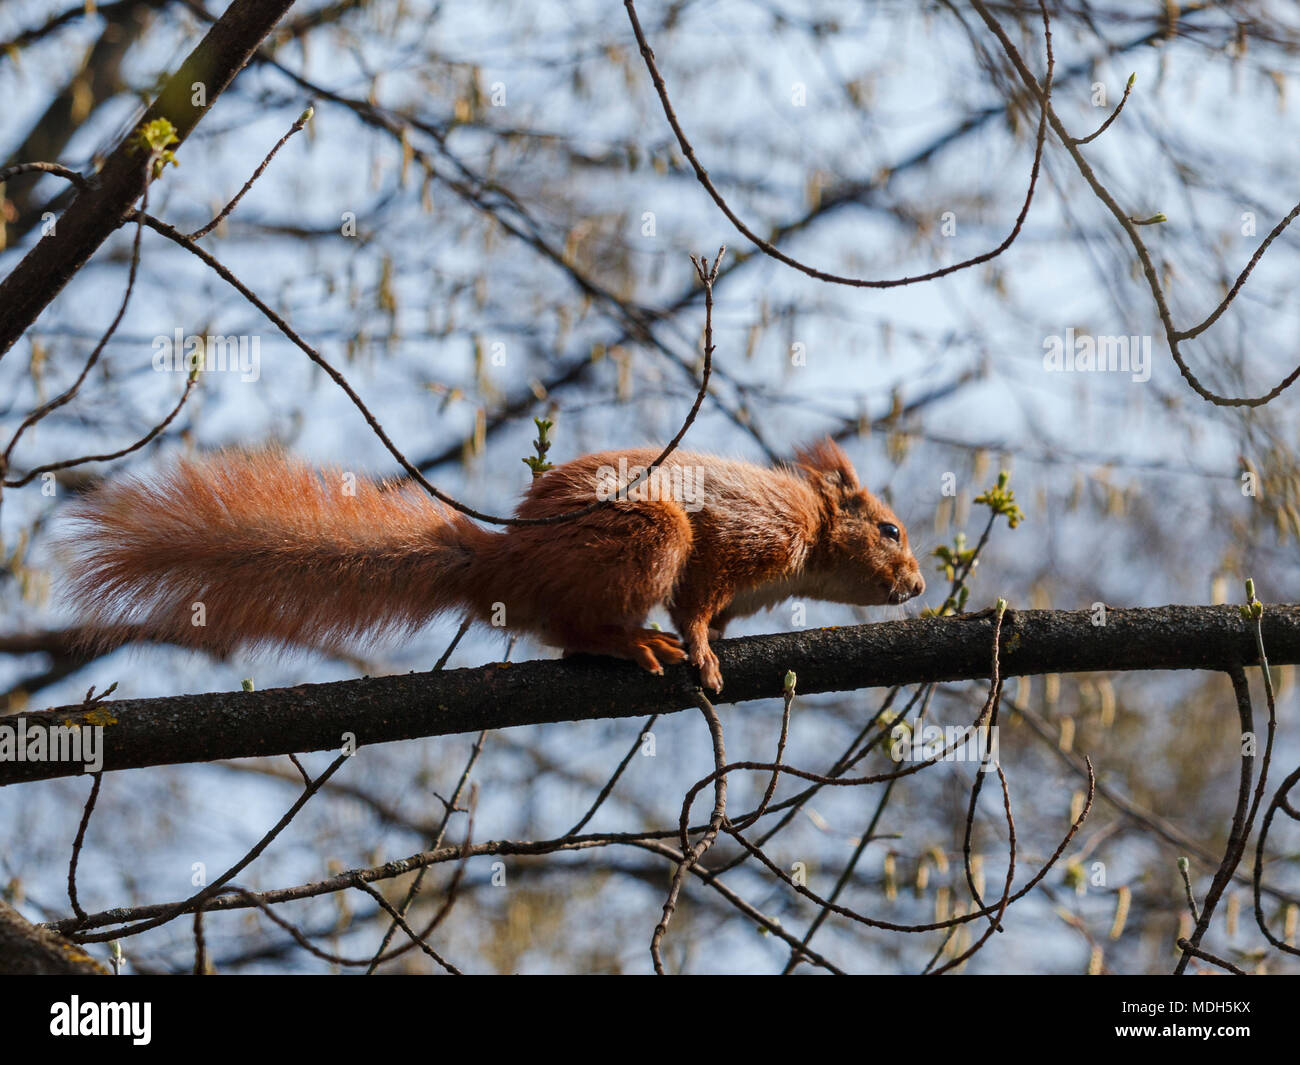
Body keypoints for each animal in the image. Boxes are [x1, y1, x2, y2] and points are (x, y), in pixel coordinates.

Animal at [55, 439, 920, 691]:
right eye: (890, 528)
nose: (917, 586)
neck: (810, 537)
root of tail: (503, 564)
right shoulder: (744, 538)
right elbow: (699, 603)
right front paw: (706, 651)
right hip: (646, 532)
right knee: (578, 625)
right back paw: (633, 641)